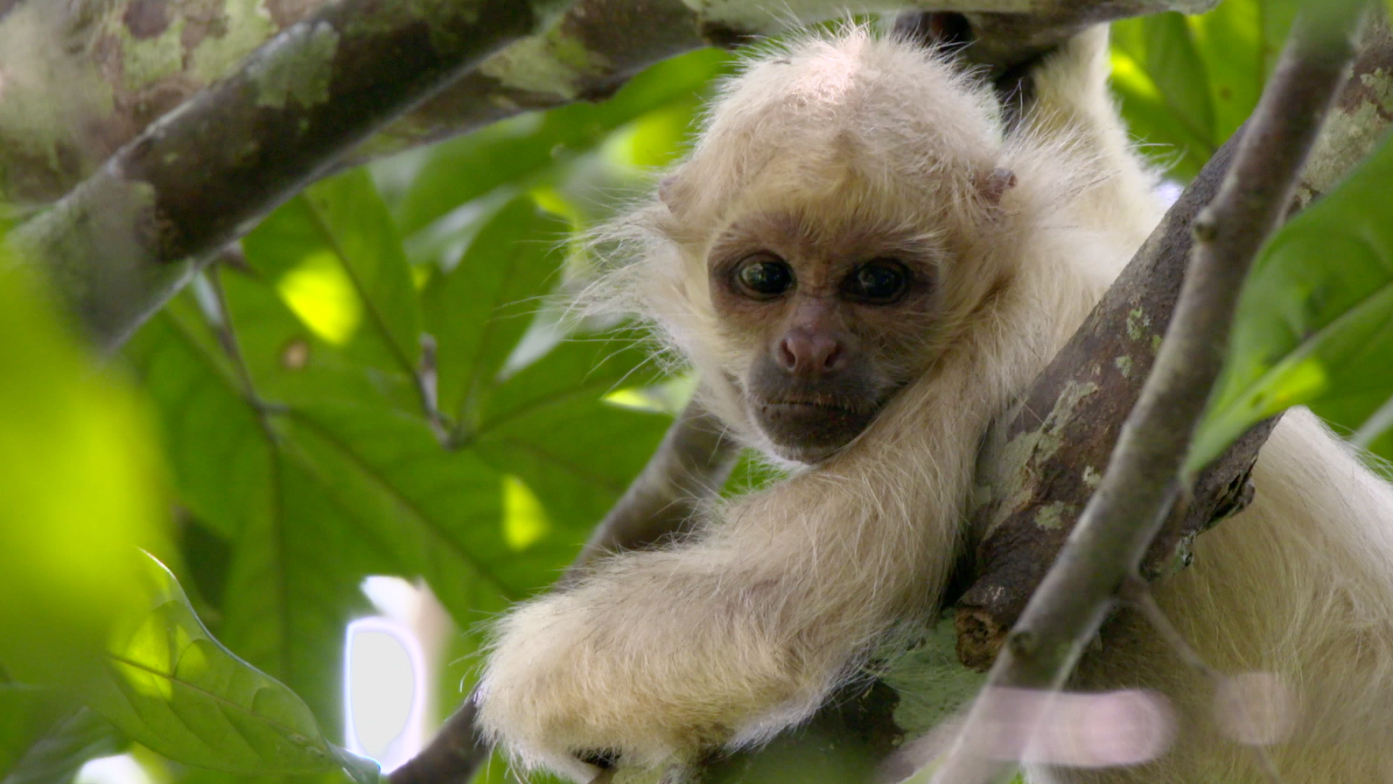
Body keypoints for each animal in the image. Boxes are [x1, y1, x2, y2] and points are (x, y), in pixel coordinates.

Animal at [474, 21, 1393, 784]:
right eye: (765, 277)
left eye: (878, 283)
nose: (809, 349)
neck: (1010, 275)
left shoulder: (1000, 352)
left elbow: (777, 612)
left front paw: (523, 695)